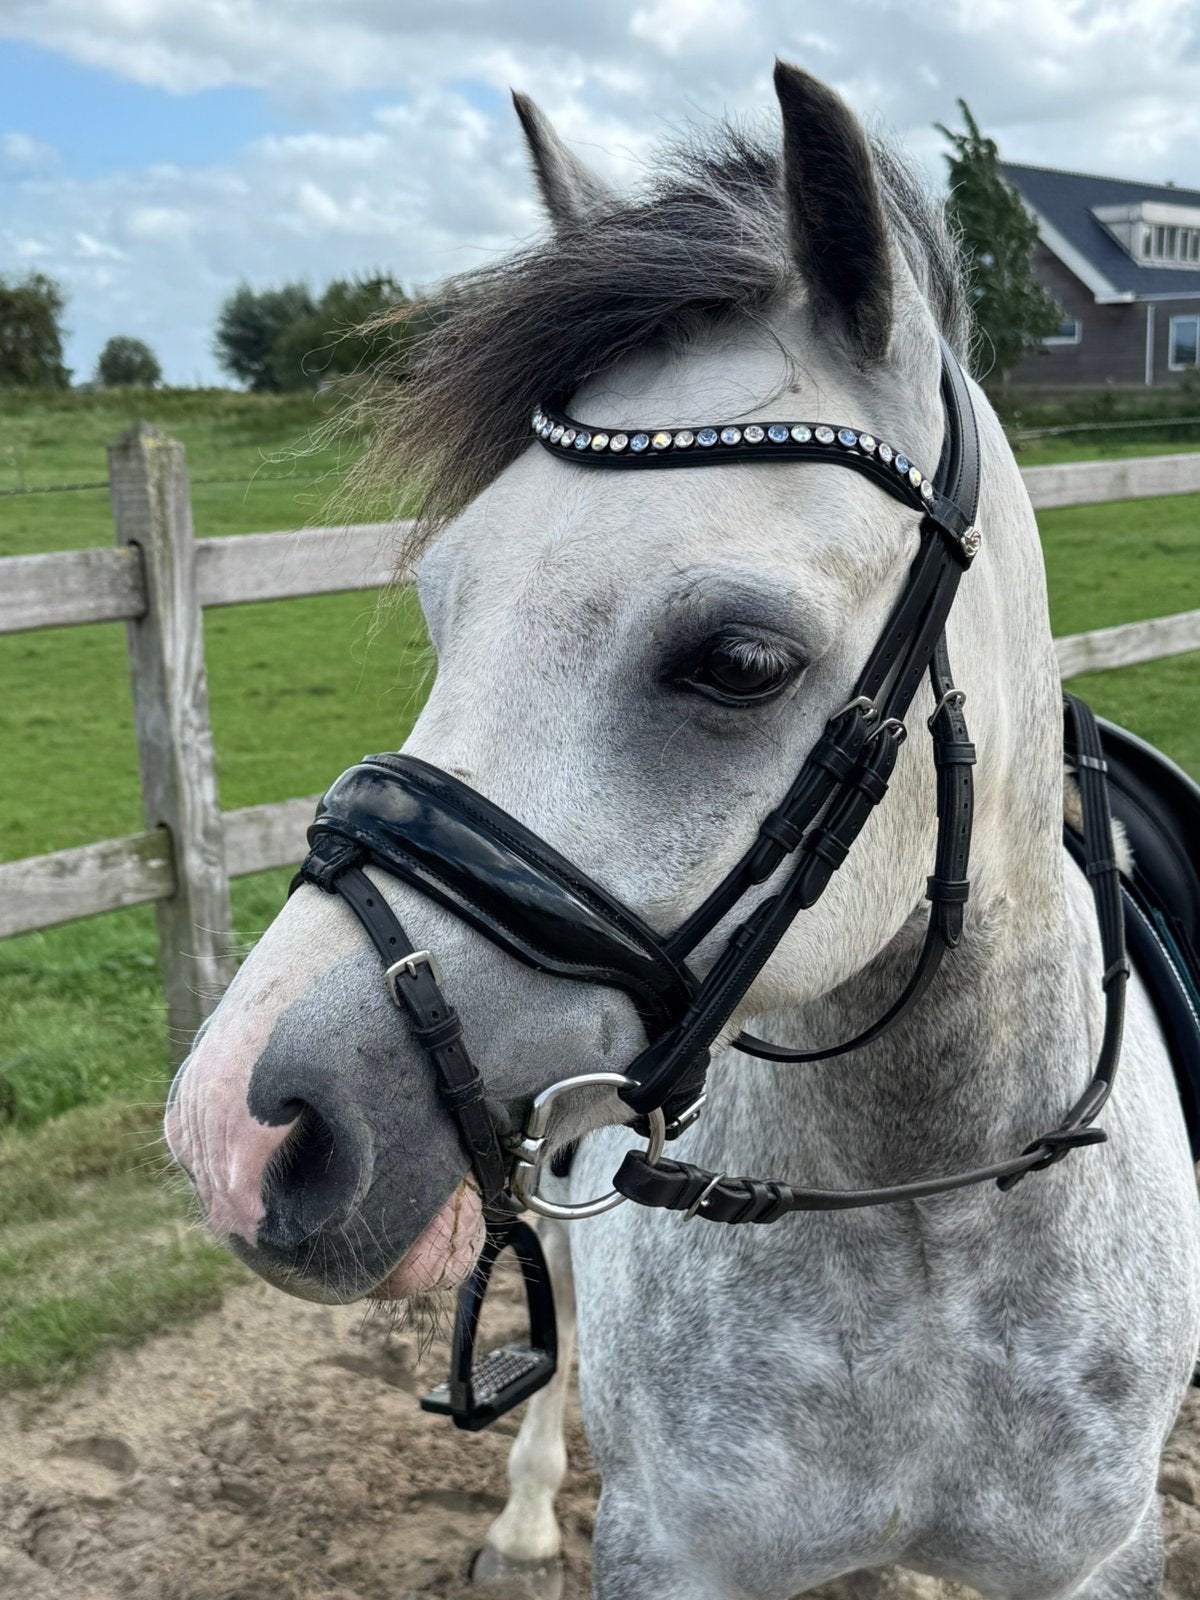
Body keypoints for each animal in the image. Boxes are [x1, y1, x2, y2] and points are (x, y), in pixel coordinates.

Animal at [165, 63, 1200, 1599]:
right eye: (445, 608)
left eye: (738, 662)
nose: (236, 1130)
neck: (927, 1211)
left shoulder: (1096, 1558)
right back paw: (525, 1512)